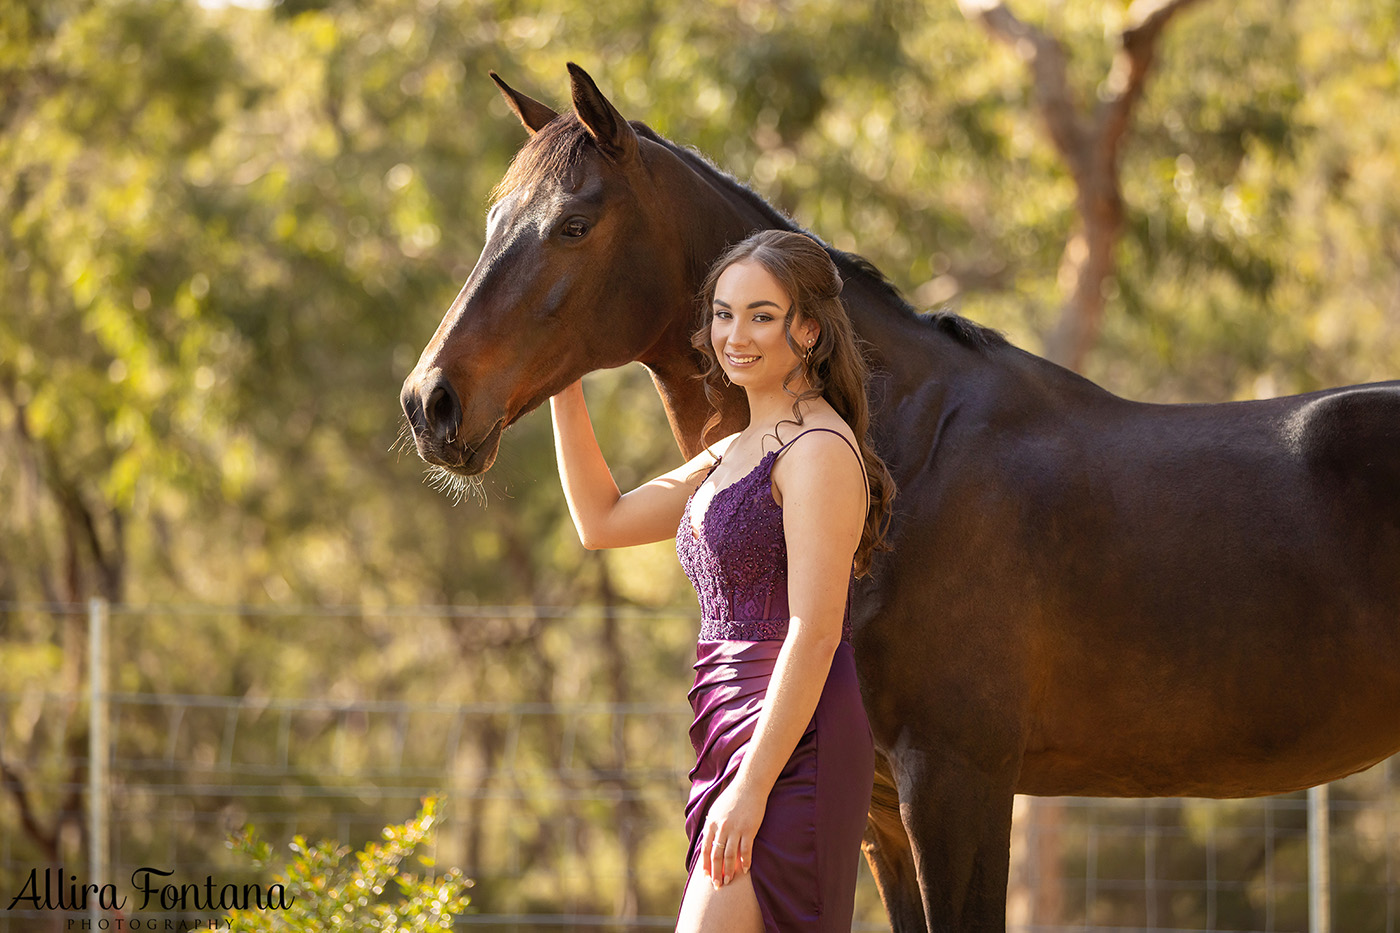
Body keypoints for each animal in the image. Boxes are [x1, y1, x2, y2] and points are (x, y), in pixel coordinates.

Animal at [397, 63, 1400, 924]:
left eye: (574, 224)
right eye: (495, 219)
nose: (430, 402)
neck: (909, 458)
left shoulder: (956, 780)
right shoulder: (880, 805)